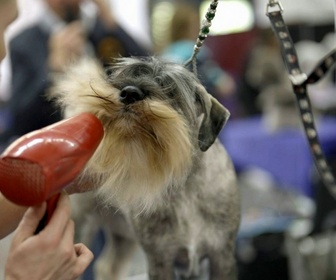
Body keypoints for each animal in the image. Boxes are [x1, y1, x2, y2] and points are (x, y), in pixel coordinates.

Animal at [48, 57, 240, 280]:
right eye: (127, 75)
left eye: (170, 89)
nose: (129, 92)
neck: (185, 189)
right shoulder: (161, 259)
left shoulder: (221, 256)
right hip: (79, 226)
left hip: (123, 236)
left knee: (108, 266)